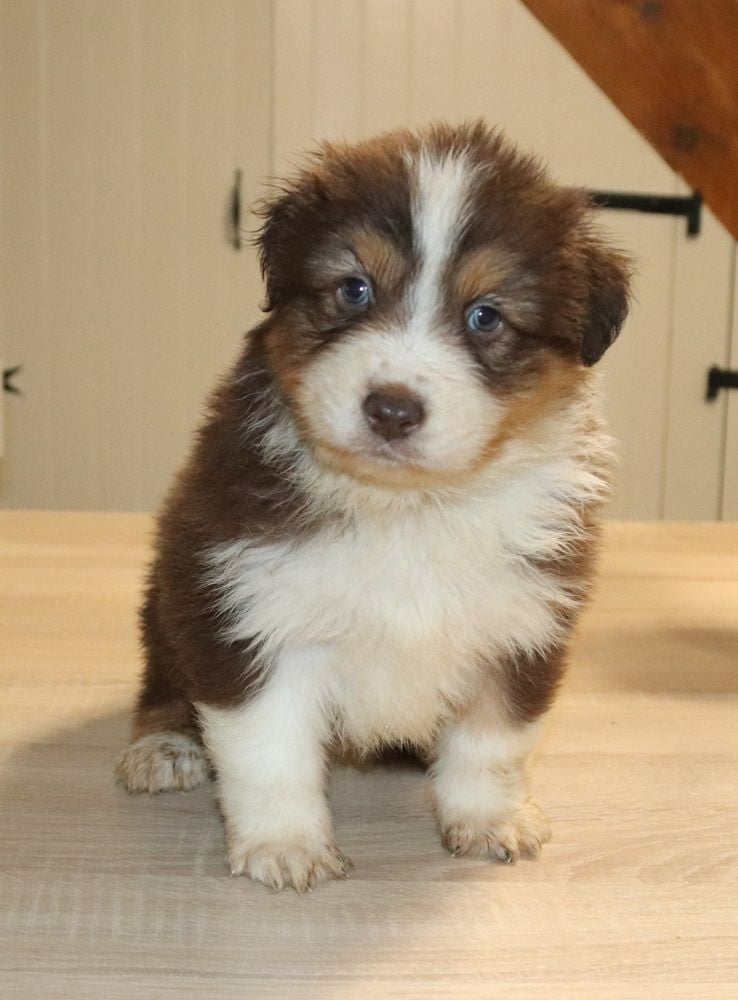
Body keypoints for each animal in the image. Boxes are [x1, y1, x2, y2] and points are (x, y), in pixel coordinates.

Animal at [115, 121, 628, 896]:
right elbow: (268, 749)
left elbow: (494, 741)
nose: (391, 409)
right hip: (171, 592)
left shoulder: (523, 620)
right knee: (164, 680)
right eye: (354, 289)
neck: (407, 509)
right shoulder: (248, 607)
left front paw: (490, 820)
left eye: (485, 317)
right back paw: (163, 747)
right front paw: (286, 845)